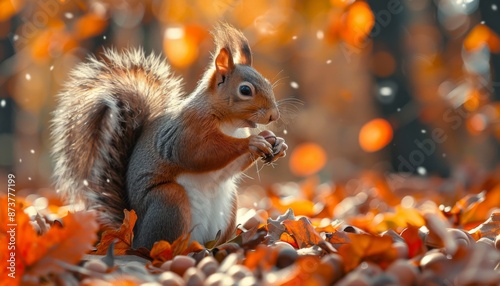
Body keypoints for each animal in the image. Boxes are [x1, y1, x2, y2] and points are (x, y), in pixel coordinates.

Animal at [50, 23, 288, 249]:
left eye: (267, 82)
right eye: (245, 90)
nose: (274, 115)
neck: (231, 124)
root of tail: (134, 236)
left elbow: (230, 167)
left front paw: (276, 142)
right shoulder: (187, 133)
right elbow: (201, 154)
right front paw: (252, 142)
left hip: (229, 205)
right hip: (169, 200)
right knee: (158, 243)